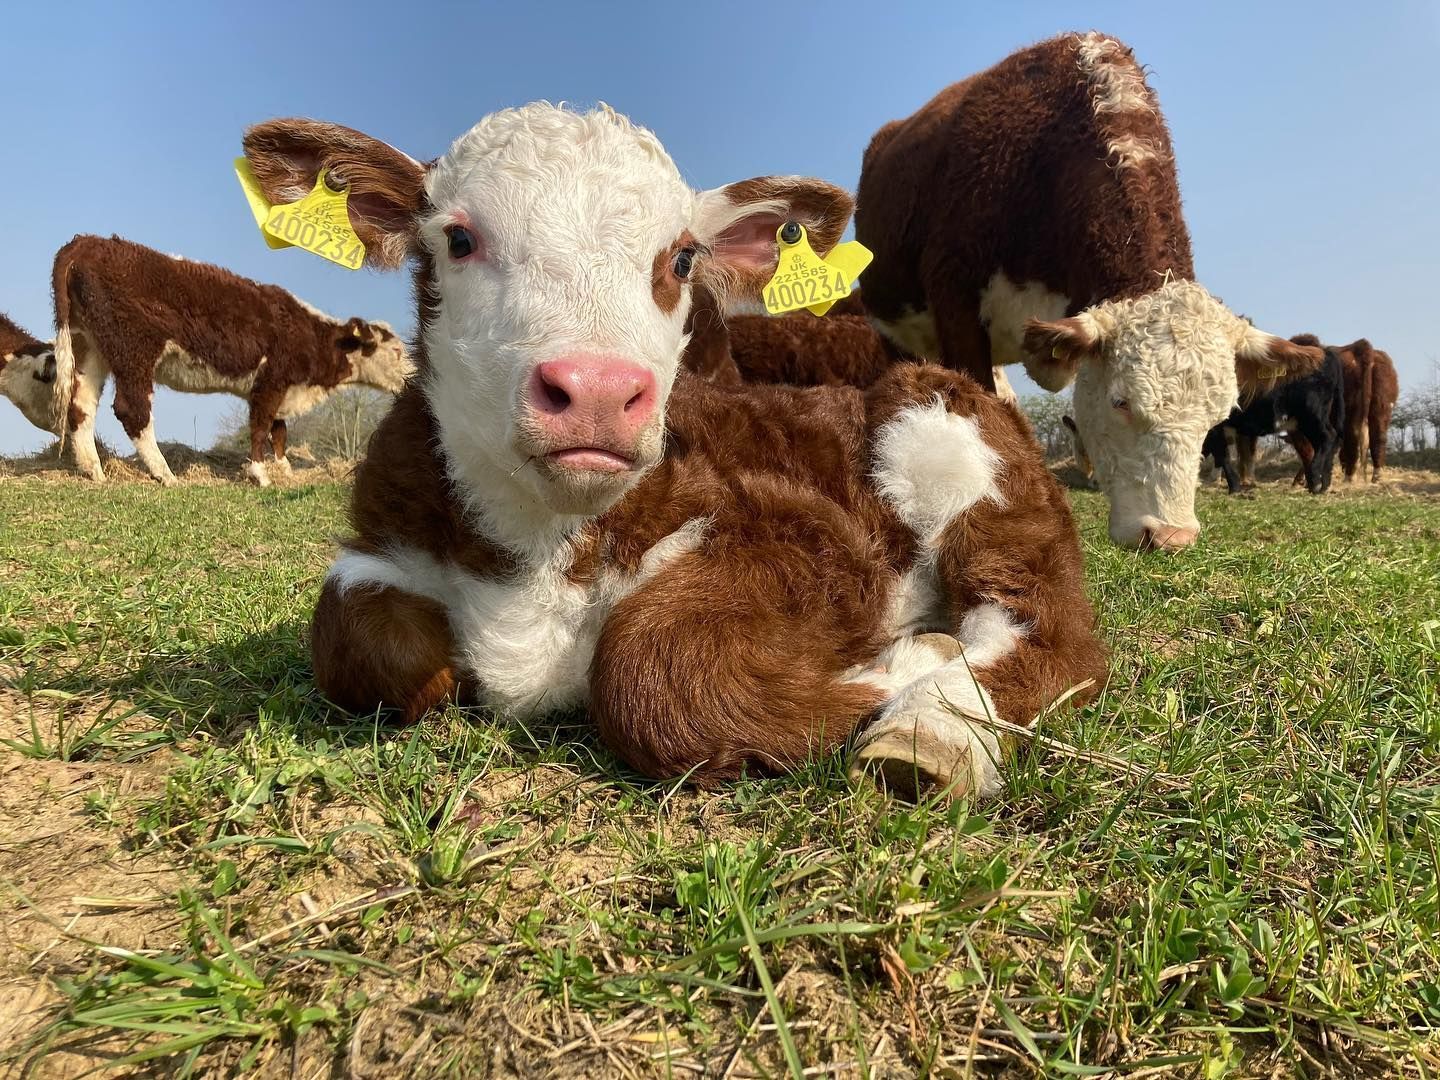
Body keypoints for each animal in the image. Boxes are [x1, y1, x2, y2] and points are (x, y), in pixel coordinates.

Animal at [44, 236, 414, 486]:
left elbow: (280, 431)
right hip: (133, 350)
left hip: (90, 346)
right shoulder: (271, 381)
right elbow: (261, 428)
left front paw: (284, 470)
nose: (413, 378)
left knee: (81, 405)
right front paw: (260, 475)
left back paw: (94, 470)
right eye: (396, 351)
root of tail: (86, 242)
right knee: (132, 410)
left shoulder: (281, 388)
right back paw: (165, 474)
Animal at [239, 104, 1108, 799]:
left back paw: (931, 732)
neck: (541, 548)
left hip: (955, 444)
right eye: (458, 238)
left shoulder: (814, 542)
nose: (596, 388)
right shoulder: (381, 533)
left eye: (682, 257)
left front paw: (897, 670)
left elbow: (652, 670)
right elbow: (359, 647)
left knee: (1050, 635)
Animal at [1201, 344, 1345, 494]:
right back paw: (1323, 485)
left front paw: (1234, 487)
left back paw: (1315, 480)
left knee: (1327, 438)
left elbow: (1221, 455)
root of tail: (1324, 351)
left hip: (1311, 416)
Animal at [1287, 336, 1400, 484]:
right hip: (1381, 406)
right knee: (1378, 437)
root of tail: (1362, 349)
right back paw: (1375, 476)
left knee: (1353, 438)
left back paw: (1349, 478)